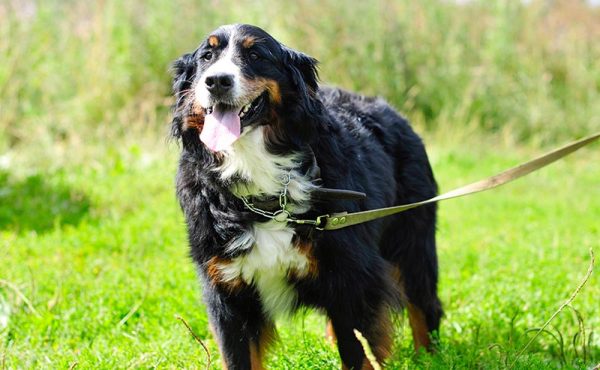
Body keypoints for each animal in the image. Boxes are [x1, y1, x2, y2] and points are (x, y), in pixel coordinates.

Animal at [171, 24, 442, 368]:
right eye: (207, 56)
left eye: (255, 55)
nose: (217, 80)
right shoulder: (227, 291)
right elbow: (238, 356)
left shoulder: (352, 278)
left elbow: (357, 351)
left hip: (411, 239)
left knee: (423, 303)